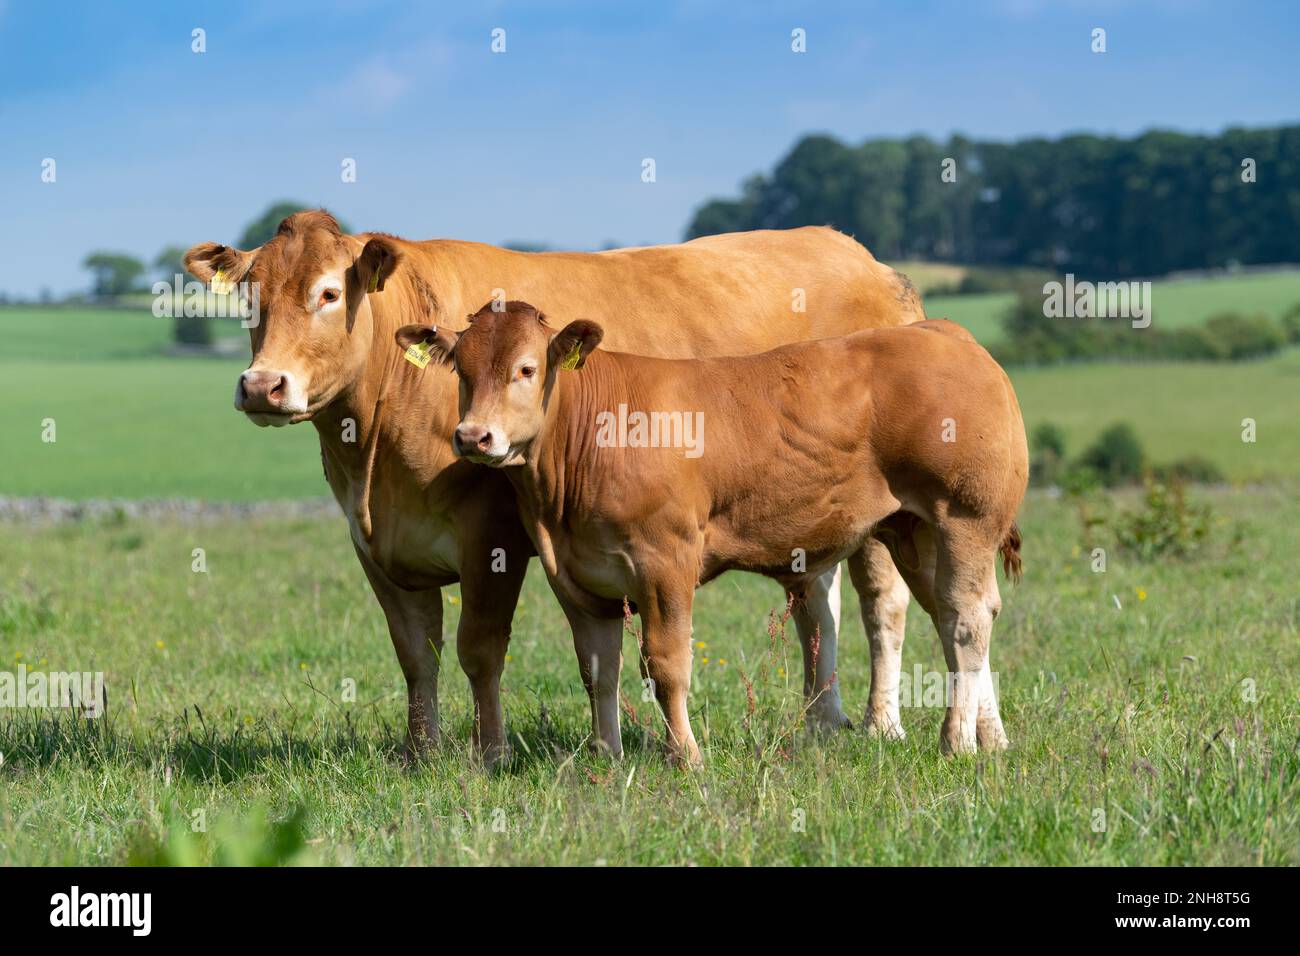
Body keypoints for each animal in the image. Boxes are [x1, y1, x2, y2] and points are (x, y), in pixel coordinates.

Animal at [183, 210, 926, 764]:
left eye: (329, 294)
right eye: (250, 296)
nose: (262, 386)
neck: (372, 448)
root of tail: (864, 259)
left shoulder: (491, 534)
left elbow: (479, 649)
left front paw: (491, 753)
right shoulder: (377, 548)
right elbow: (416, 655)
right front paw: (422, 753)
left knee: (881, 605)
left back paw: (881, 723)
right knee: (816, 601)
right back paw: (821, 722)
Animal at [397, 302, 1028, 765]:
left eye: (526, 369)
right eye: (462, 372)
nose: (474, 436)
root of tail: (944, 331)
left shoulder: (664, 562)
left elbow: (666, 664)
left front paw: (687, 757)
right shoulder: (576, 578)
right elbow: (598, 669)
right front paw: (607, 756)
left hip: (966, 518)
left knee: (967, 619)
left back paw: (955, 741)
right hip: (915, 531)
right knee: (955, 617)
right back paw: (991, 737)